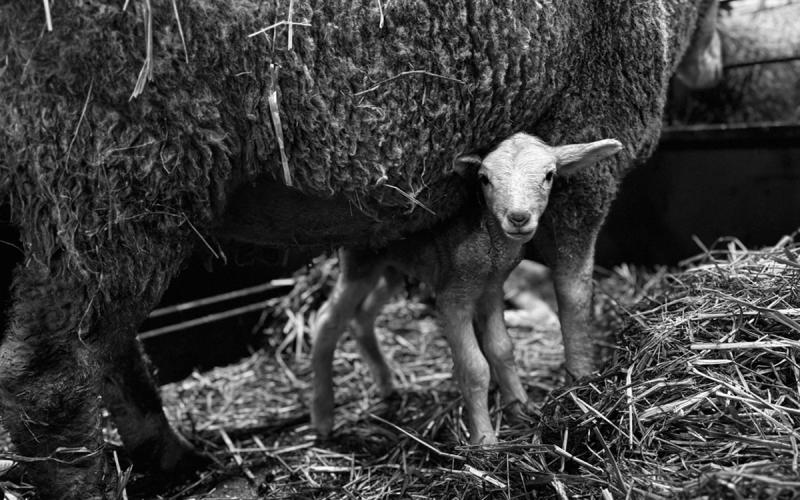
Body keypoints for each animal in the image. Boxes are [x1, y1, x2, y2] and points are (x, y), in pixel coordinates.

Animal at [311, 133, 622, 444]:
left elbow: (502, 349)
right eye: (484, 179)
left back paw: (386, 384)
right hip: (361, 262)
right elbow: (474, 368)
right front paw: (484, 440)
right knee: (327, 320)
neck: (491, 250)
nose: (518, 217)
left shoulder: (492, 290)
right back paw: (323, 418)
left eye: (550, 175)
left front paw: (521, 409)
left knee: (363, 316)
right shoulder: (453, 297)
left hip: (392, 268)